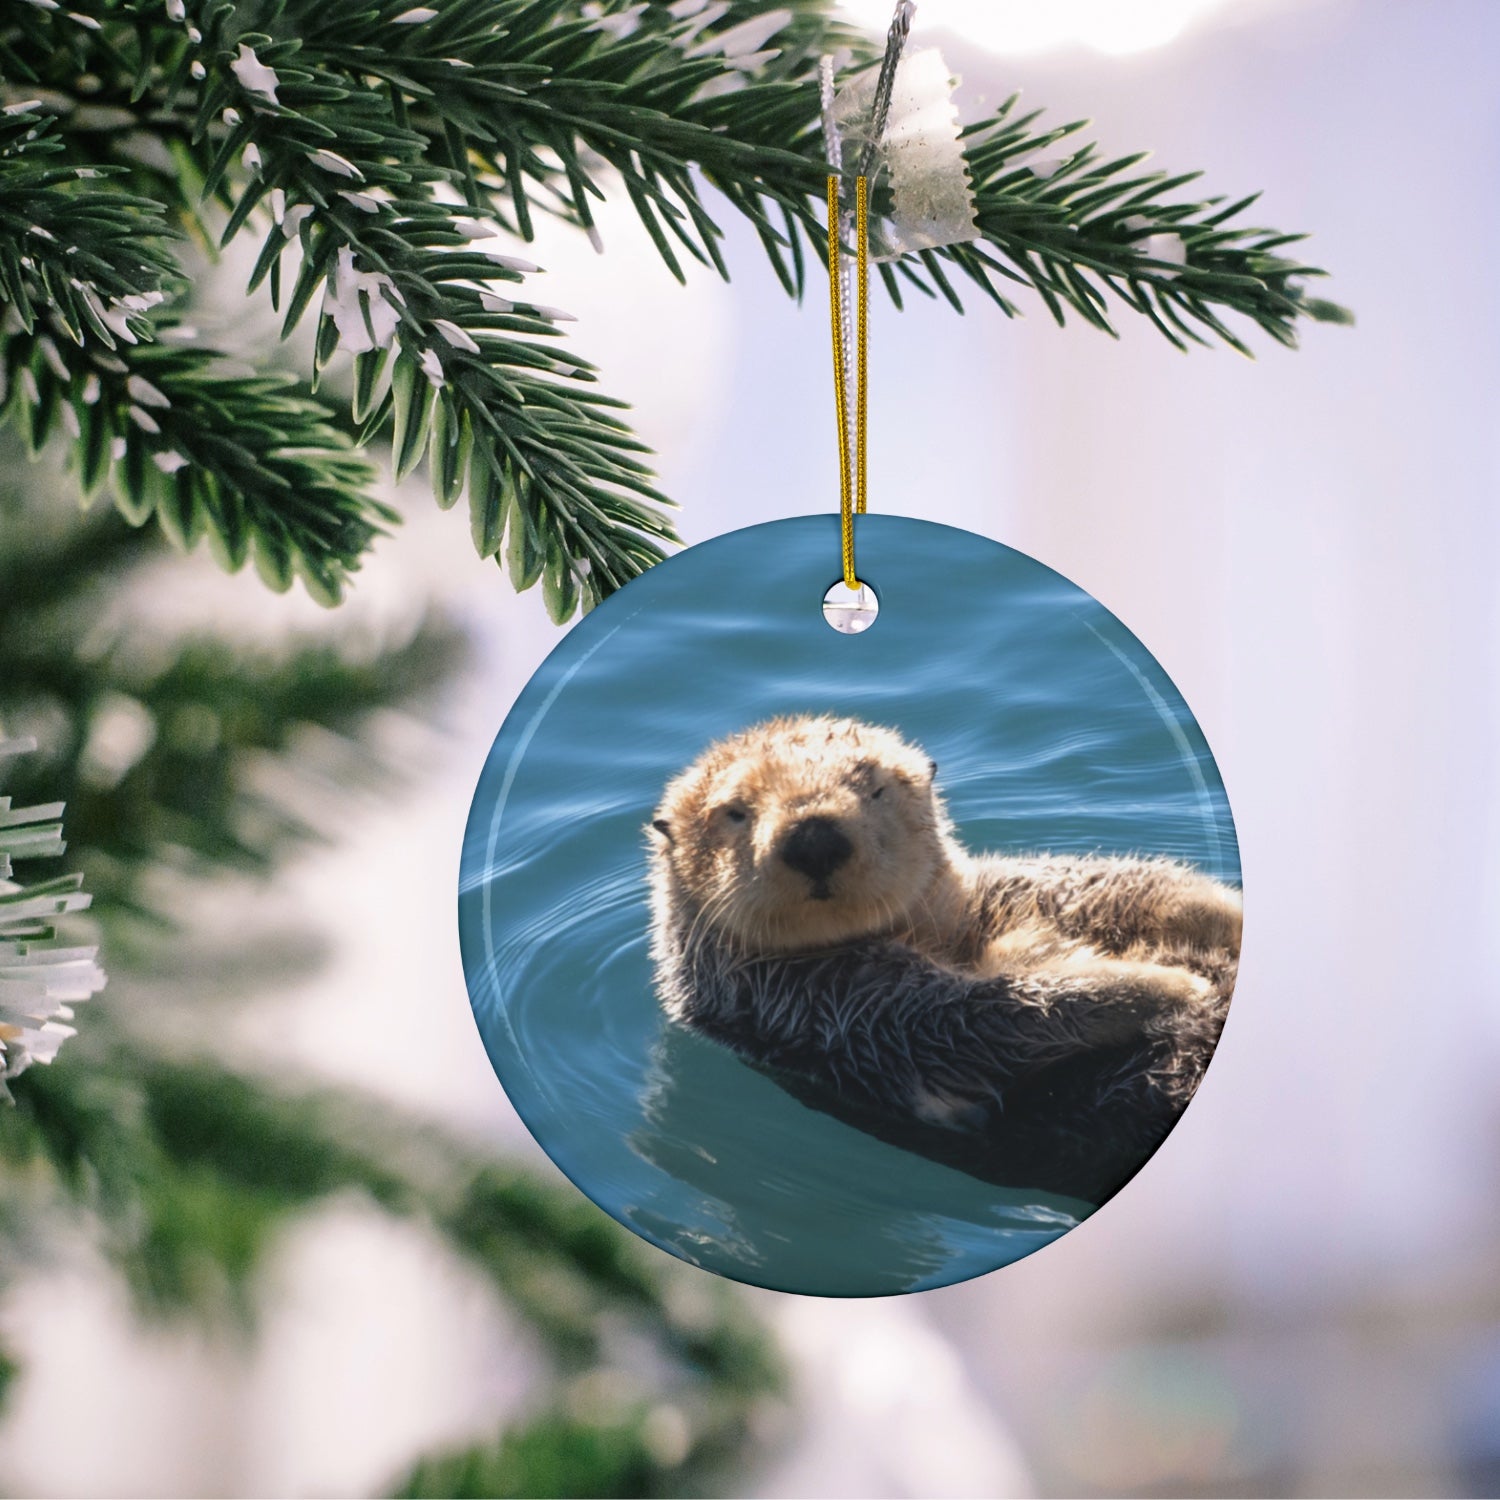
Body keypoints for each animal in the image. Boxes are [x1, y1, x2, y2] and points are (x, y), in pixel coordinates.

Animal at [646, 715, 1239, 1204]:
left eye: (875, 788)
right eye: (735, 812)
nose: (814, 837)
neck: (928, 934)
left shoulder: (983, 899)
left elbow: (1087, 886)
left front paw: (1216, 908)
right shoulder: (825, 1006)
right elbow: (976, 1016)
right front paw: (1171, 986)